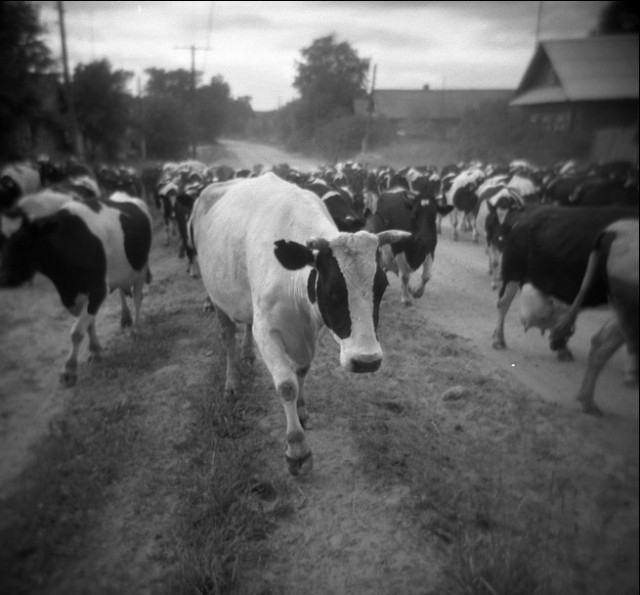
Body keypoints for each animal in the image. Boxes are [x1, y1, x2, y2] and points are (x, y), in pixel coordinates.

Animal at [0, 191, 152, 386]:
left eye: (23, 241)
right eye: (0, 240)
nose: (4, 277)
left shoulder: (97, 290)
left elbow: (77, 332)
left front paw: (70, 370)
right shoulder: (76, 295)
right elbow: (88, 325)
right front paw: (95, 350)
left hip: (141, 268)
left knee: (138, 299)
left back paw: (136, 330)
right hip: (123, 271)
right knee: (122, 292)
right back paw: (126, 318)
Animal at [189, 172, 410, 474]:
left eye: (382, 286)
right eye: (331, 291)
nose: (366, 361)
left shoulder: (312, 329)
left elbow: (302, 369)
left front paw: (302, 411)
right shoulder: (266, 331)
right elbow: (286, 385)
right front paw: (297, 448)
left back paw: (247, 355)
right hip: (216, 296)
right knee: (228, 339)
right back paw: (232, 382)